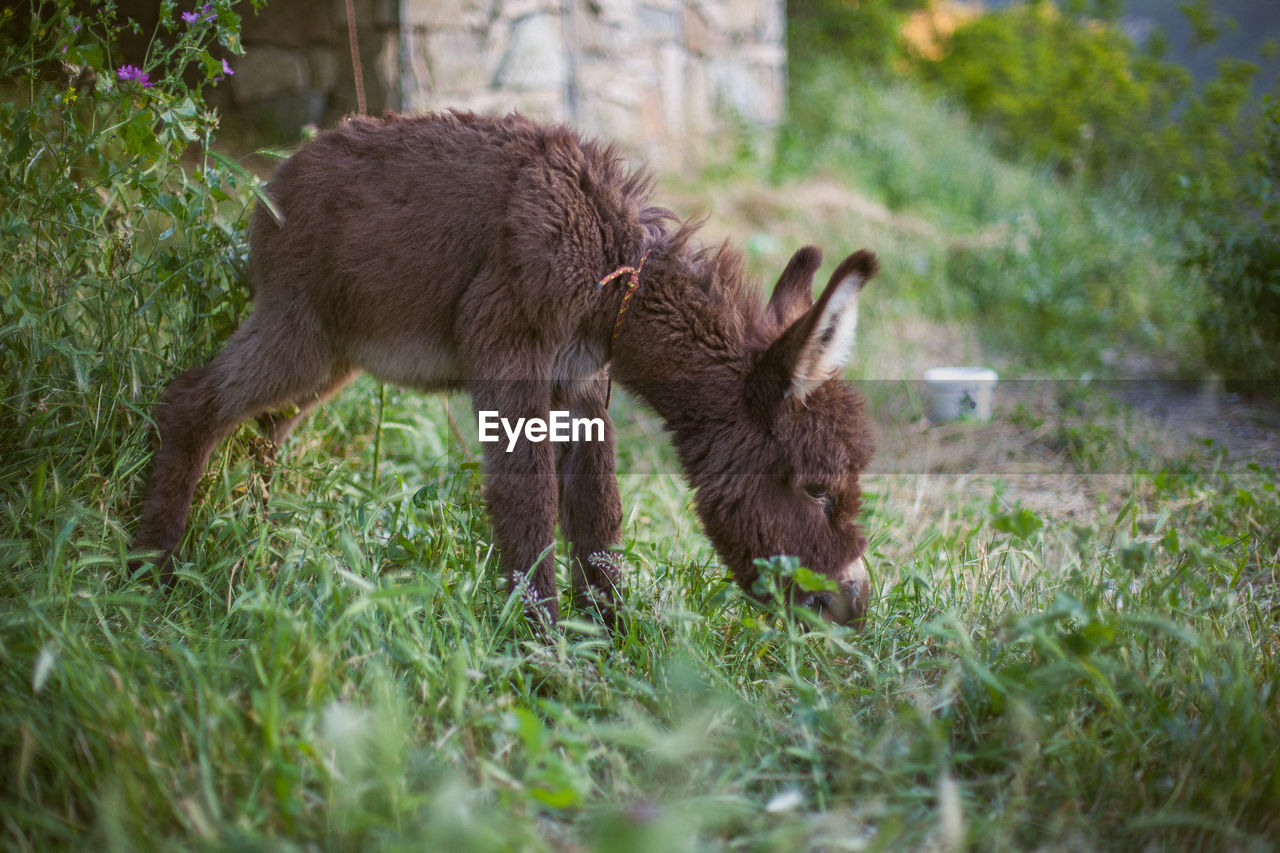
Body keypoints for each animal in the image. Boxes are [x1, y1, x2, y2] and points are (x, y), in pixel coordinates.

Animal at [140, 111, 880, 625]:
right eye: (817, 490)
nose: (855, 603)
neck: (614, 268)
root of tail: (277, 177)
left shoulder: (581, 381)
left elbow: (597, 509)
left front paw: (613, 633)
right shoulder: (508, 344)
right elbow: (529, 499)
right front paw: (545, 652)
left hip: (338, 355)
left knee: (265, 430)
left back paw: (256, 548)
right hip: (302, 331)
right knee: (193, 403)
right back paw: (153, 572)